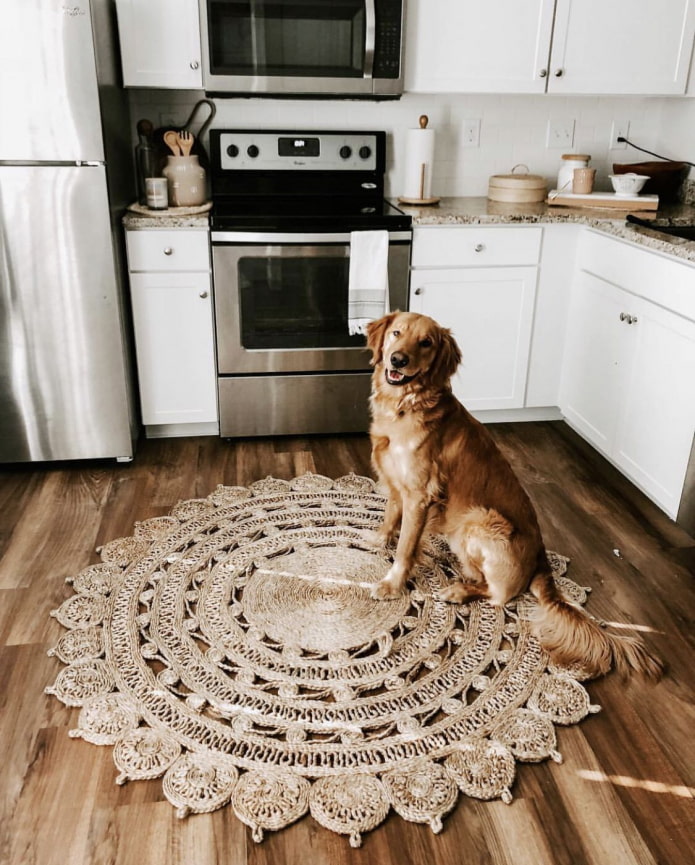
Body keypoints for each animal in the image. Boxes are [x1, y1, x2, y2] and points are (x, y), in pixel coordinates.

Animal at [364, 310, 664, 680]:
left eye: (426, 342)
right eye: (396, 333)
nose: (397, 360)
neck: (405, 404)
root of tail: (540, 558)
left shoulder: (419, 495)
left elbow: (406, 547)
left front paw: (392, 584)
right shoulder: (395, 481)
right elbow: (390, 517)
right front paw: (378, 541)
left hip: (478, 521)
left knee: (497, 595)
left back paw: (458, 590)